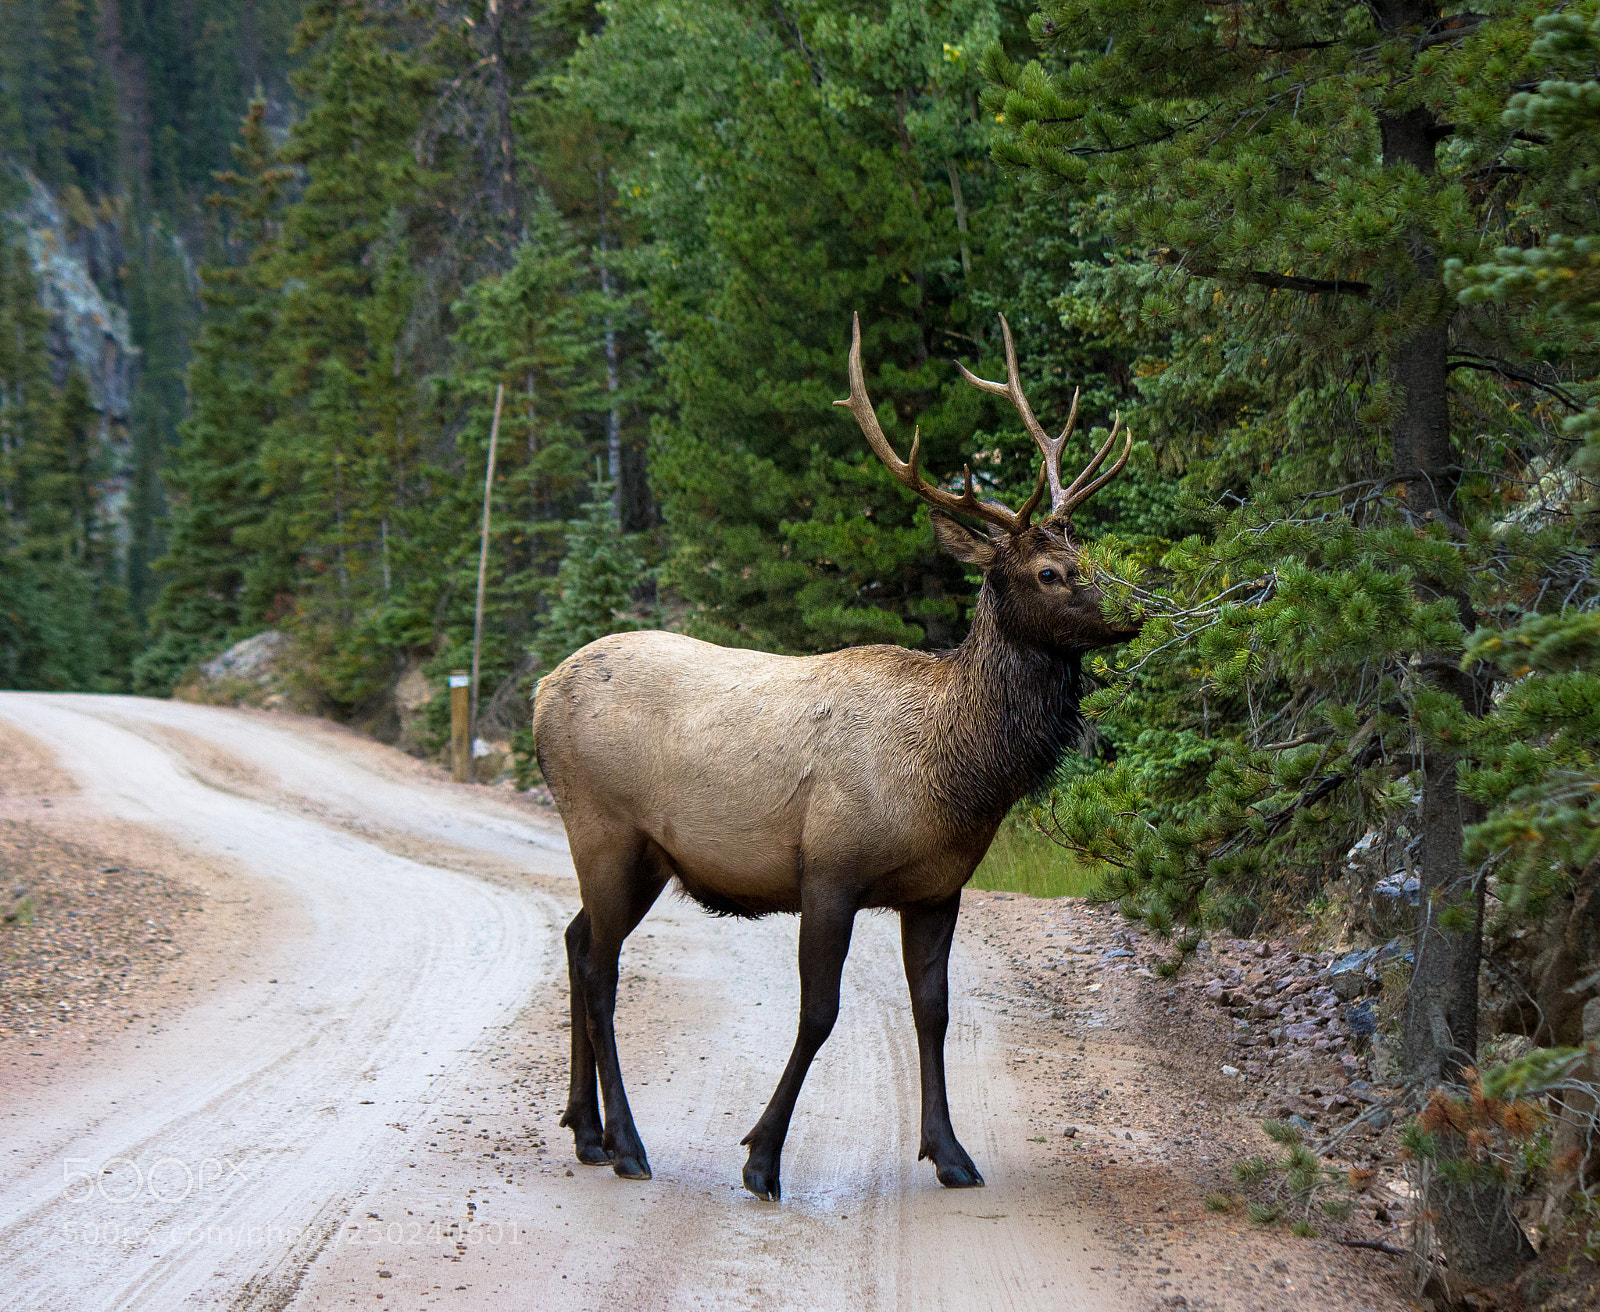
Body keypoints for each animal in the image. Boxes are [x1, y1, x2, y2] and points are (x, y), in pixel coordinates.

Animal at [532, 313, 1139, 1201]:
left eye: (1089, 554)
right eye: (1051, 571)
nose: (1135, 610)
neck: (955, 775)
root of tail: (541, 692)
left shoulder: (939, 888)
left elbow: (935, 1012)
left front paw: (951, 1154)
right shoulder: (828, 869)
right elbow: (819, 1015)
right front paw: (761, 1157)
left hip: (645, 857)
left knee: (578, 944)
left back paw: (584, 1130)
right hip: (603, 828)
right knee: (603, 971)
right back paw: (628, 1146)